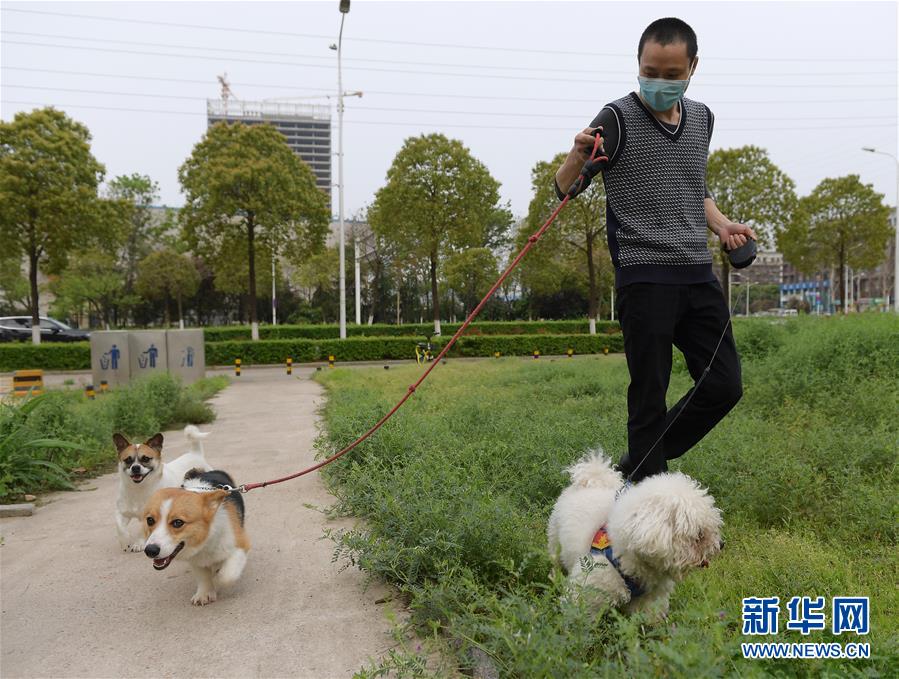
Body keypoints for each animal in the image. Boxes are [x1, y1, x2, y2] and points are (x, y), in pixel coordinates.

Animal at [114, 428, 213, 556]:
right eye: (128, 460)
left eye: (146, 458)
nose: (135, 468)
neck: (138, 489)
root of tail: (195, 453)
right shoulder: (121, 512)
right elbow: (119, 527)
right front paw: (125, 541)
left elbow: (142, 529)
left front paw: (139, 543)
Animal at [143, 470, 250, 608]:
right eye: (150, 520)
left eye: (178, 522)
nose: (150, 550)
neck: (207, 538)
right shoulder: (195, 560)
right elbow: (203, 577)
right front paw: (204, 593)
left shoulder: (241, 546)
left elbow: (226, 576)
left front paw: (217, 579)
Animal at [540, 452, 724, 616]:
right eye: (699, 535)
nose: (722, 544)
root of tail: (592, 481)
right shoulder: (588, 591)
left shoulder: (650, 599)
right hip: (555, 540)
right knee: (556, 561)